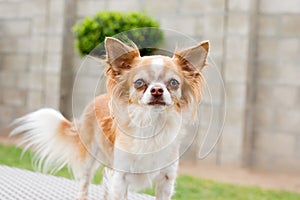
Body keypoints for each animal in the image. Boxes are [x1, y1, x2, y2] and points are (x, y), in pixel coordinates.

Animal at [11, 36, 209, 199]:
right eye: (139, 83)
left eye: (174, 83)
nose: (157, 90)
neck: (151, 124)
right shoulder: (121, 177)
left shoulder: (166, 180)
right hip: (89, 159)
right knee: (84, 183)